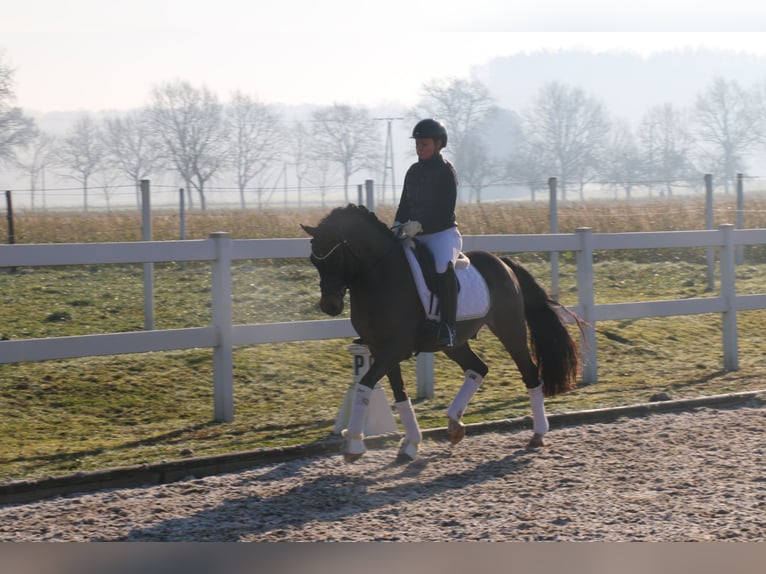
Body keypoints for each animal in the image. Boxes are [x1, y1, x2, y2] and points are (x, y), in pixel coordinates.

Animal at [300, 205, 584, 466]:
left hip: (509, 328)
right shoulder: (381, 348)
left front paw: (354, 444)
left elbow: (365, 385)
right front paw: (411, 444)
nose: (330, 306)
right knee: (478, 368)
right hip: (455, 343)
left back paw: (538, 433)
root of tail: (503, 263)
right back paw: (455, 425)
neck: (379, 275)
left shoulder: (395, 348)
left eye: (336, 258)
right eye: (314, 260)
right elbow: (399, 394)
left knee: (529, 372)